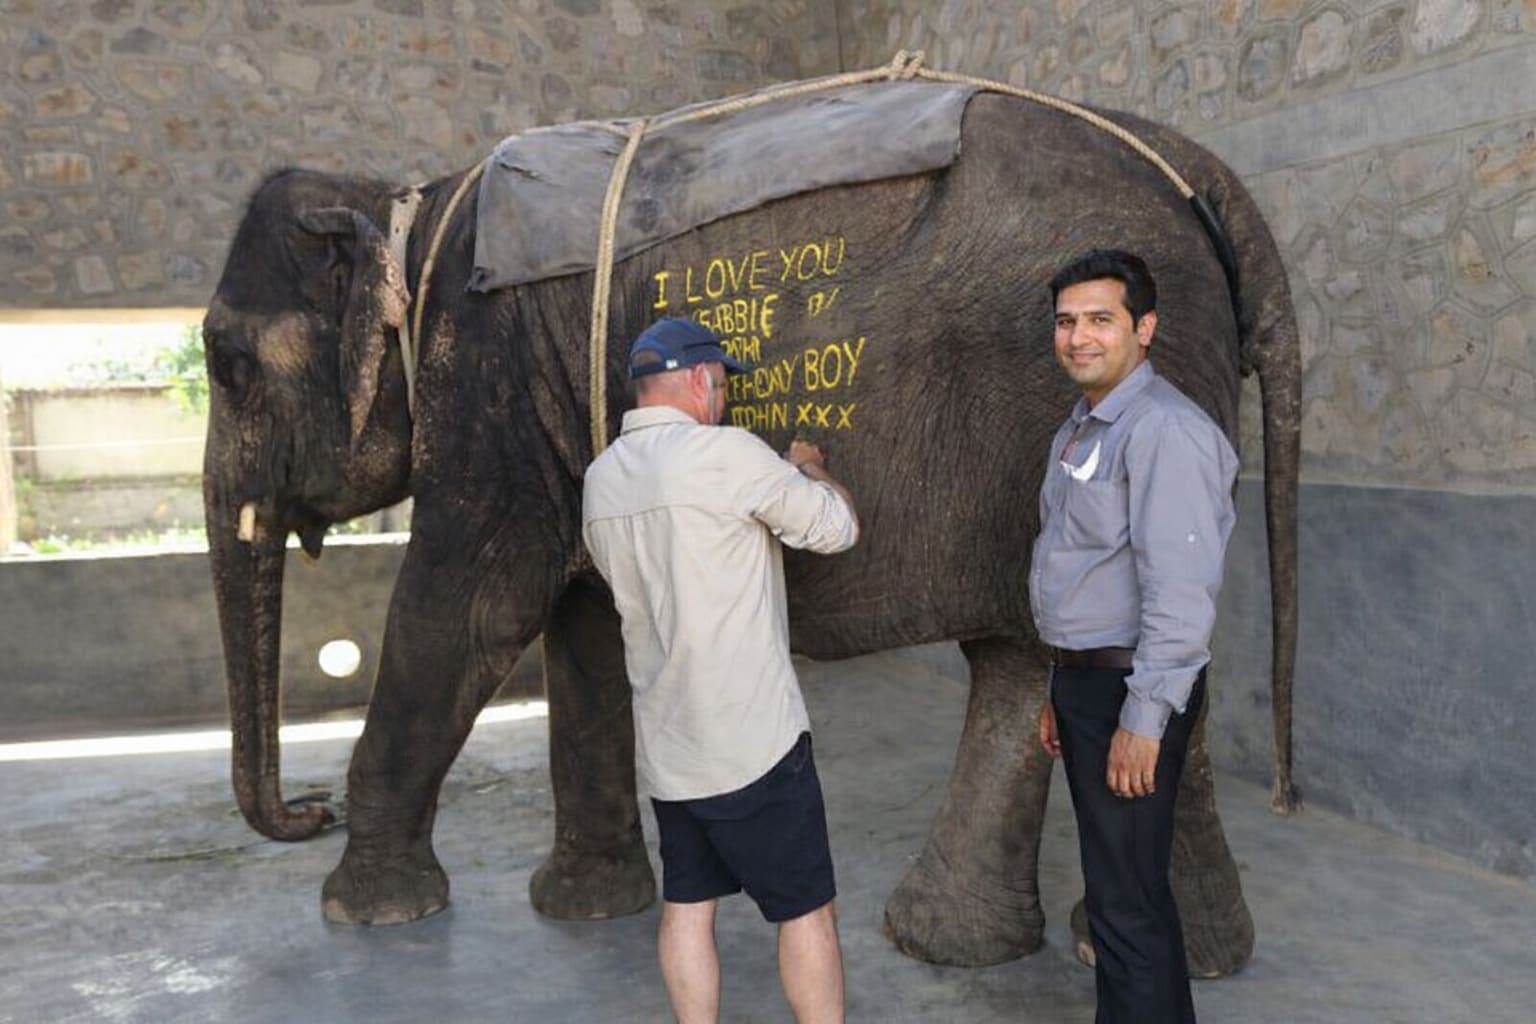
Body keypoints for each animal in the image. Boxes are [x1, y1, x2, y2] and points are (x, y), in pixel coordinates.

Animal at [202, 86, 1299, 976]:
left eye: (225, 363)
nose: (307, 810)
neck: (412, 210)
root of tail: (1198, 171)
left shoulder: (486, 376)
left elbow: (471, 605)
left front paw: (367, 915)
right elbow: (584, 617)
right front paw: (588, 909)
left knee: (1060, 645)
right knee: (1079, 657)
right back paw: (1086, 948)